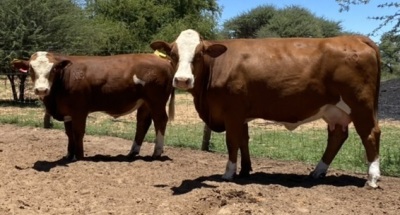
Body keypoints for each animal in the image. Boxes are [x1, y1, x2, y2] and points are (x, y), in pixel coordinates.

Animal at [11, 51, 174, 160]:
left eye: (53, 69)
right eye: (31, 69)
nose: (41, 89)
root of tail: (162, 60)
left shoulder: (79, 110)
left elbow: (78, 133)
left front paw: (79, 156)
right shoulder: (67, 112)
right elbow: (69, 133)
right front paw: (69, 155)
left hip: (157, 101)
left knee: (160, 120)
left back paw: (156, 152)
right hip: (145, 103)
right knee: (143, 123)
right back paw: (132, 152)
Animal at [152, 29, 382, 188]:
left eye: (199, 54)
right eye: (173, 54)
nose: (182, 80)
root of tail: (355, 38)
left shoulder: (232, 112)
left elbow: (232, 141)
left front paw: (229, 173)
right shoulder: (241, 114)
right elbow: (243, 140)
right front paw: (245, 170)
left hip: (360, 104)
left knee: (370, 134)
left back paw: (372, 178)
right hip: (334, 110)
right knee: (337, 137)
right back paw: (317, 172)